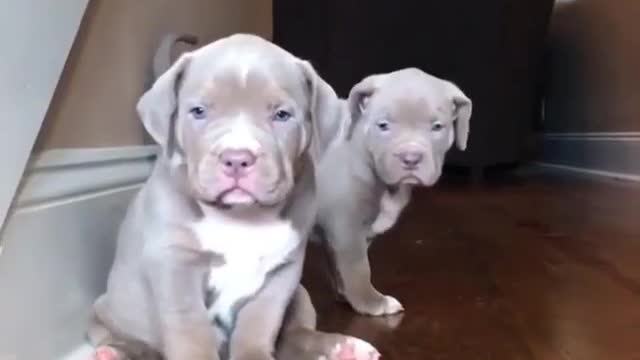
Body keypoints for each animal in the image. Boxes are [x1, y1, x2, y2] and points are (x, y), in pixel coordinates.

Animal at [314, 67, 470, 316]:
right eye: (383, 125)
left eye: (437, 127)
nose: (411, 158)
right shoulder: (346, 228)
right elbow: (358, 269)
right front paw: (371, 302)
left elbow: (338, 265)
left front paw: (344, 294)